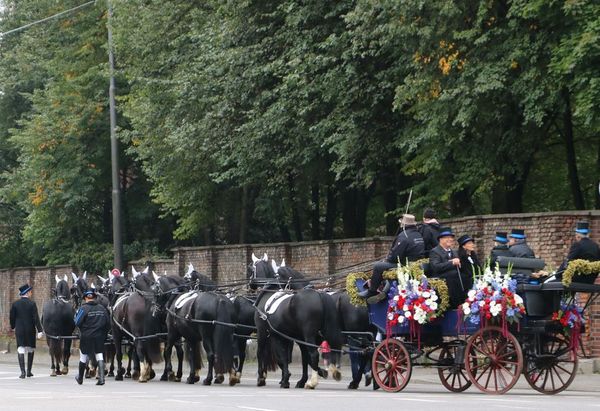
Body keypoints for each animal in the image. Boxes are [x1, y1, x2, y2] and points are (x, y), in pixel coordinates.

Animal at [248, 258, 342, 390]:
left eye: (252, 269)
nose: (250, 284)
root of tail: (319, 294)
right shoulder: (285, 337)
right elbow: (289, 358)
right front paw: (289, 379)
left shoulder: (264, 333)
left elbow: (265, 354)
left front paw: (263, 378)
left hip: (308, 335)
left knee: (314, 355)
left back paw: (315, 379)